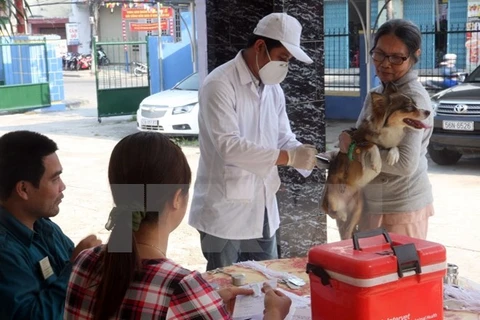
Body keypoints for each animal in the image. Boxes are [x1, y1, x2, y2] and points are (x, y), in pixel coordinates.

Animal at [320, 84, 430, 239]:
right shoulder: (356, 142)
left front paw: (393, 155)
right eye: (409, 107)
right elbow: (373, 145)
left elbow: (394, 147)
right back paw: (340, 213)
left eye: (415, 104)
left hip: (358, 207)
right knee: (333, 210)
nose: (428, 112)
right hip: (331, 197)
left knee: (348, 229)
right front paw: (377, 162)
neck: (390, 129)